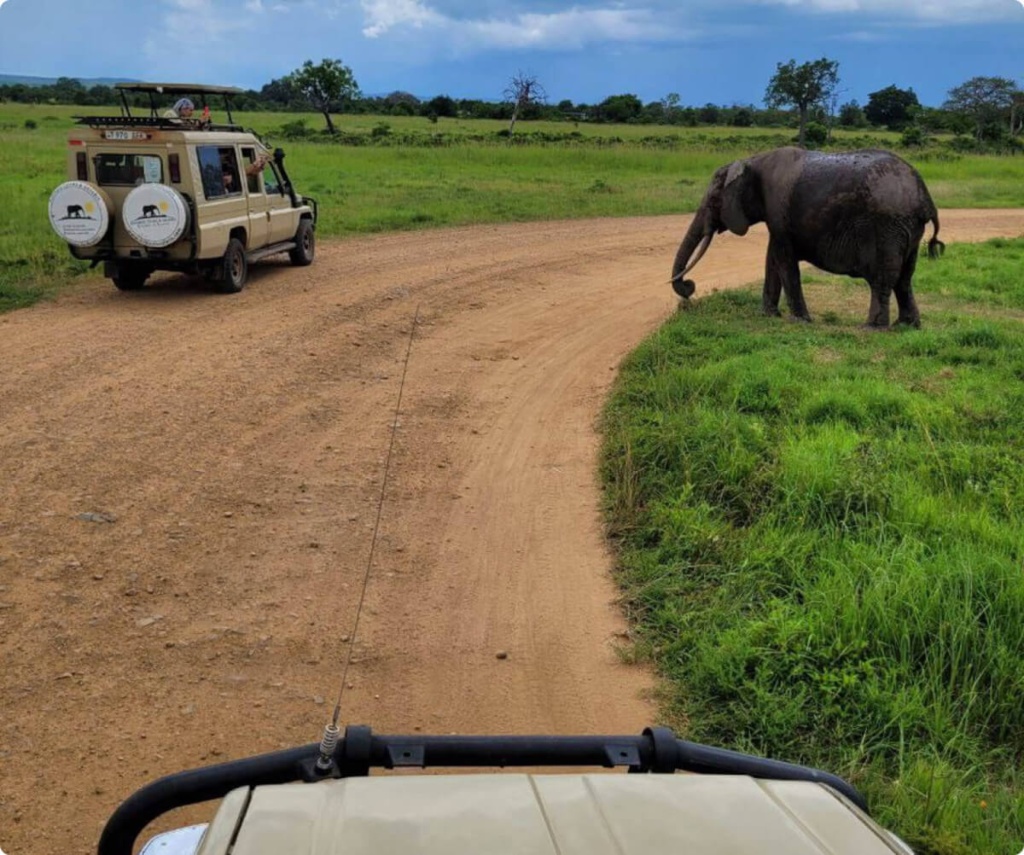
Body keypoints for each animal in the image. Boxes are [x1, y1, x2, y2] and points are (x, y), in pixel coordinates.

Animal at [670, 147, 944, 329]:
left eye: (714, 200)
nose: (689, 288)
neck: (752, 160)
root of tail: (924, 196)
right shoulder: (776, 216)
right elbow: (773, 259)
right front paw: (769, 316)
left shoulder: (778, 209)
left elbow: (784, 260)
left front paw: (800, 321)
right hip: (906, 228)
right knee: (905, 278)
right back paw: (906, 326)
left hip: (886, 226)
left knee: (882, 279)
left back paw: (872, 329)